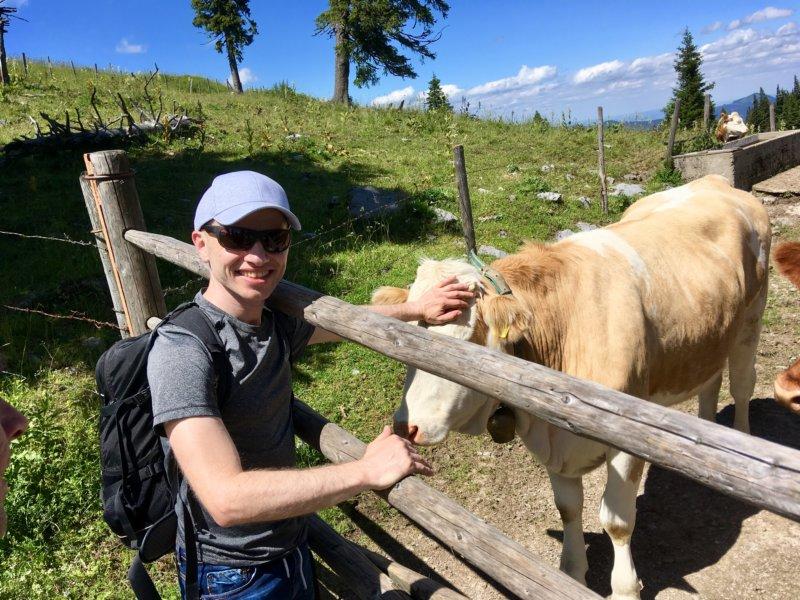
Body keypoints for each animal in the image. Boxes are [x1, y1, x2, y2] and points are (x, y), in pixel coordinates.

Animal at [372, 174, 770, 599]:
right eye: (405, 339)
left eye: (461, 343)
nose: (405, 426)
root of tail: (713, 180)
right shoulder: (555, 444)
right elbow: (568, 508)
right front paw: (572, 574)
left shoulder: (626, 439)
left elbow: (617, 521)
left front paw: (625, 588)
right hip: (711, 333)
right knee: (710, 383)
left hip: (751, 321)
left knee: (742, 385)